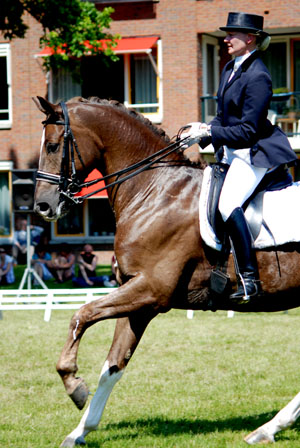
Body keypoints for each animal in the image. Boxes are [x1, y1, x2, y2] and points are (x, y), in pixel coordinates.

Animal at [32, 96, 300, 446]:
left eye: (52, 146)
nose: (43, 206)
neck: (155, 190)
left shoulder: (150, 290)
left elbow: (82, 315)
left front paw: (73, 384)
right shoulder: (138, 298)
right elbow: (113, 365)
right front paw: (80, 431)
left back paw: (270, 427)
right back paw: (269, 428)